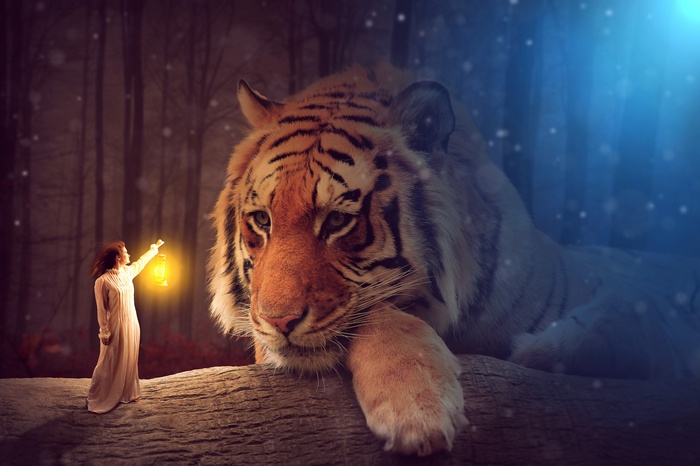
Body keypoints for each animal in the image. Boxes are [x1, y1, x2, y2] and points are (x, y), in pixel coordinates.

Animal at [208, 63, 700, 456]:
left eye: (338, 221)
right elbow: (380, 312)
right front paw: (417, 411)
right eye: (262, 220)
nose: (278, 321)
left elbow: (626, 314)